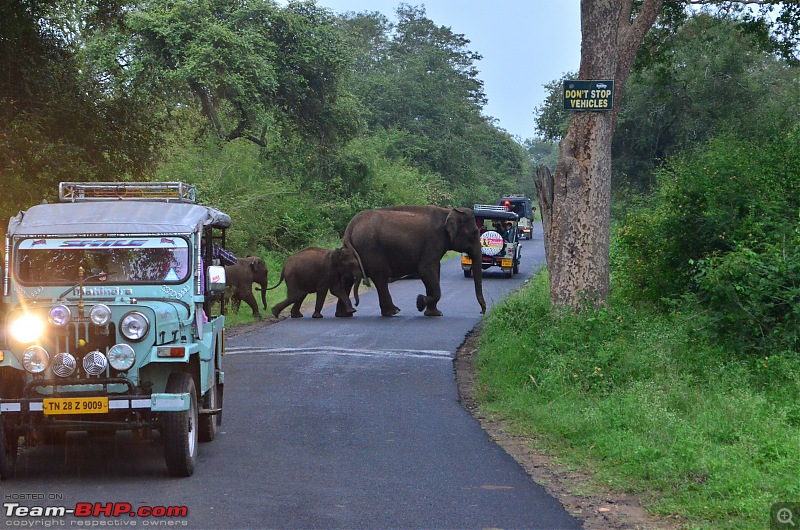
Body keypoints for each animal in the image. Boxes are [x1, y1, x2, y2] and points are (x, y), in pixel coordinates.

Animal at [340, 204, 484, 316]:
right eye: (474, 233)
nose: (482, 312)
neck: (448, 211)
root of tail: (350, 227)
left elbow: (435, 271)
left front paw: (433, 313)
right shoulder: (432, 243)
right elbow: (426, 270)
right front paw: (420, 302)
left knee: (348, 279)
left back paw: (346, 314)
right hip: (371, 249)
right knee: (381, 277)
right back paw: (394, 312)